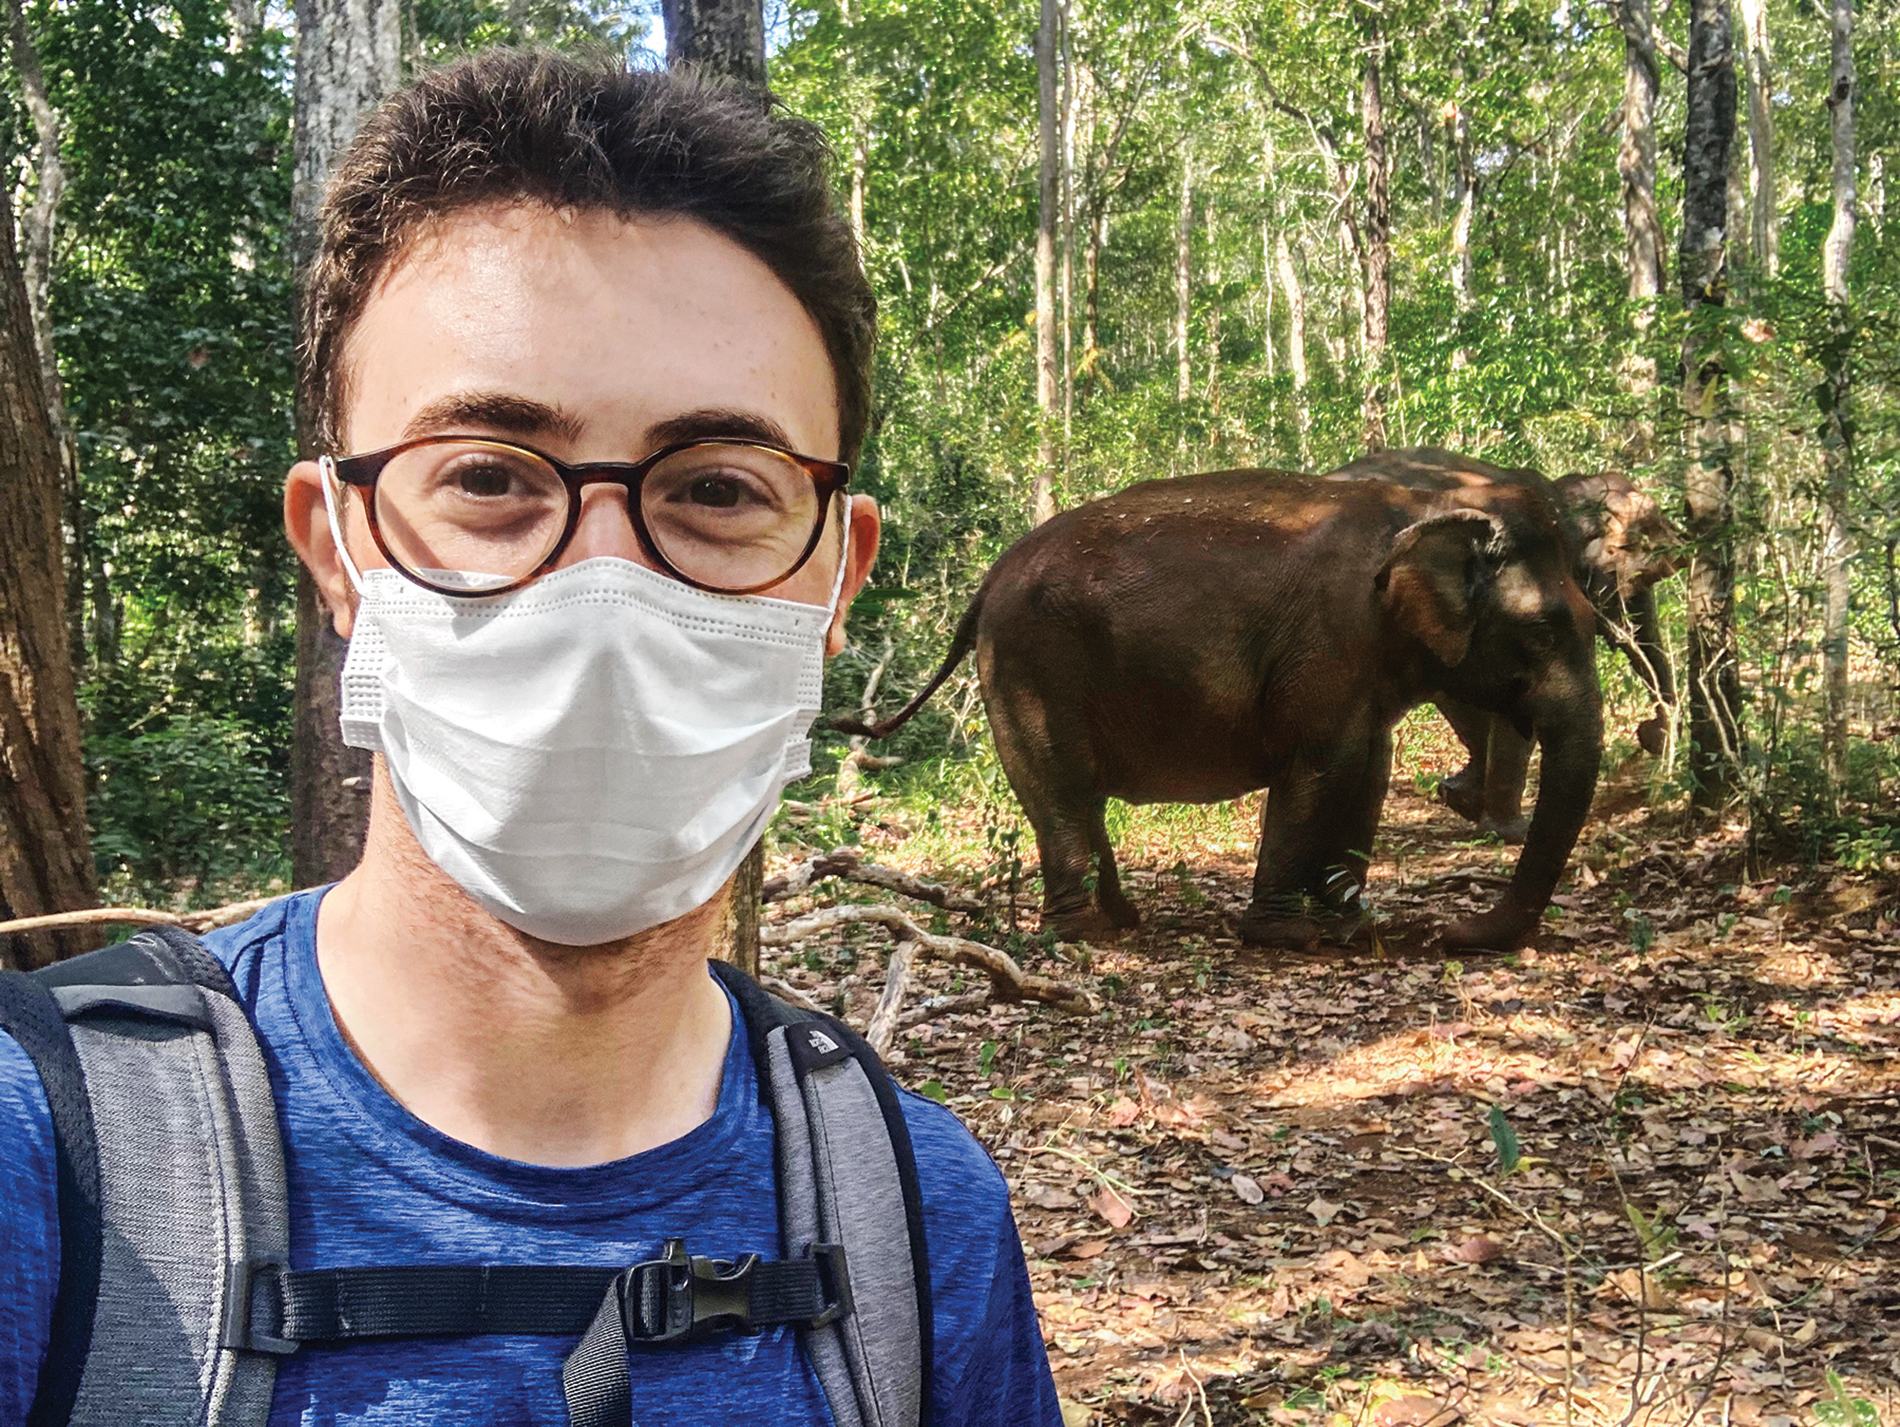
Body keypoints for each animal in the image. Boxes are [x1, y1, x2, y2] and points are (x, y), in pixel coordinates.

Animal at [839, 469, 1596, 953]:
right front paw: (1292, 935)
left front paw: (1356, 921)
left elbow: (1368, 769)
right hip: (1028, 666)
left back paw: (1123, 918)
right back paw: (1084, 936)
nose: (1452, 934)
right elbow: (1319, 768)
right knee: (1060, 791)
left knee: (1076, 796)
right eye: (1541, 632)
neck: (1425, 505)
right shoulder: (1327, 645)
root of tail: (986, 581)